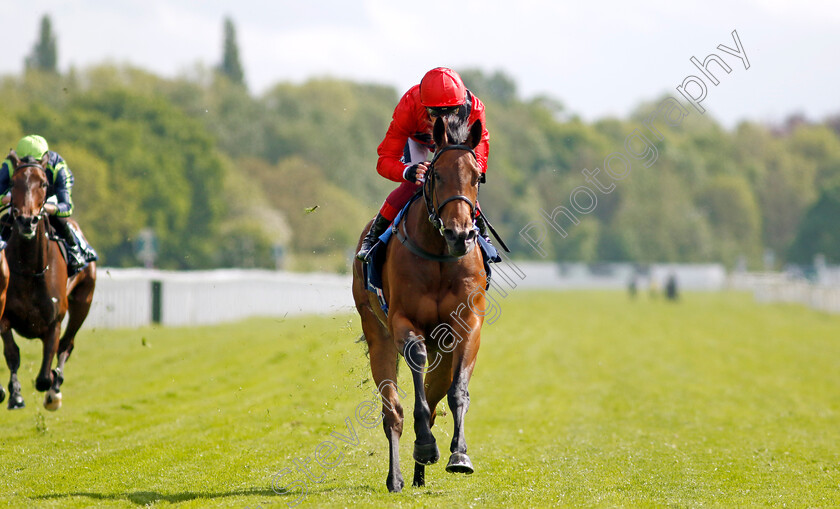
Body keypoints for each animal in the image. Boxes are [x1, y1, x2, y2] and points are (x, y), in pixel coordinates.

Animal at [0, 150, 97, 408]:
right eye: (14, 183)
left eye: (43, 183)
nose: (27, 220)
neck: (29, 269)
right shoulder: (4, 315)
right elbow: (12, 354)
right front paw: (14, 394)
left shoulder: (54, 322)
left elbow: (44, 376)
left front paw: (52, 385)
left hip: (83, 301)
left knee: (67, 345)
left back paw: (56, 387)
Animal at [352, 117, 486, 490]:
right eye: (436, 175)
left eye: (476, 176)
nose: (460, 234)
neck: (439, 252)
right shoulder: (402, 320)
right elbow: (416, 362)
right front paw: (426, 444)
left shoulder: (468, 323)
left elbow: (456, 392)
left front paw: (459, 455)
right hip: (377, 332)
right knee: (393, 411)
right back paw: (398, 475)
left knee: (436, 390)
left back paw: (418, 475)